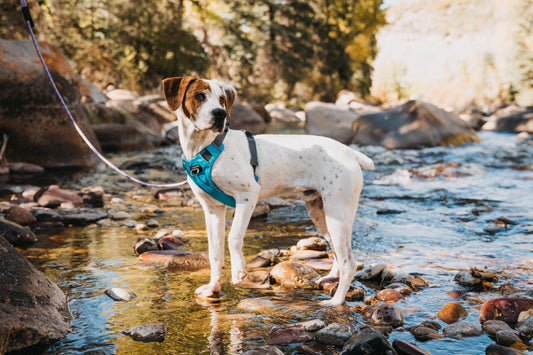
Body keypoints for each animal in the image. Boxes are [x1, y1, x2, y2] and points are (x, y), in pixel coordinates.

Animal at [162, 76, 374, 306]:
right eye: (199, 96)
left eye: (221, 99)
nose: (220, 114)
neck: (205, 148)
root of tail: (350, 152)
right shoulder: (212, 210)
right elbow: (214, 253)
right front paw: (213, 288)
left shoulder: (247, 196)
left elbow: (233, 237)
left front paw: (239, 271)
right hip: (320, 213)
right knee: (337, 252)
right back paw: (330, 278)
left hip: (338, 214)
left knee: (349, 263)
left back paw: (335, 301)